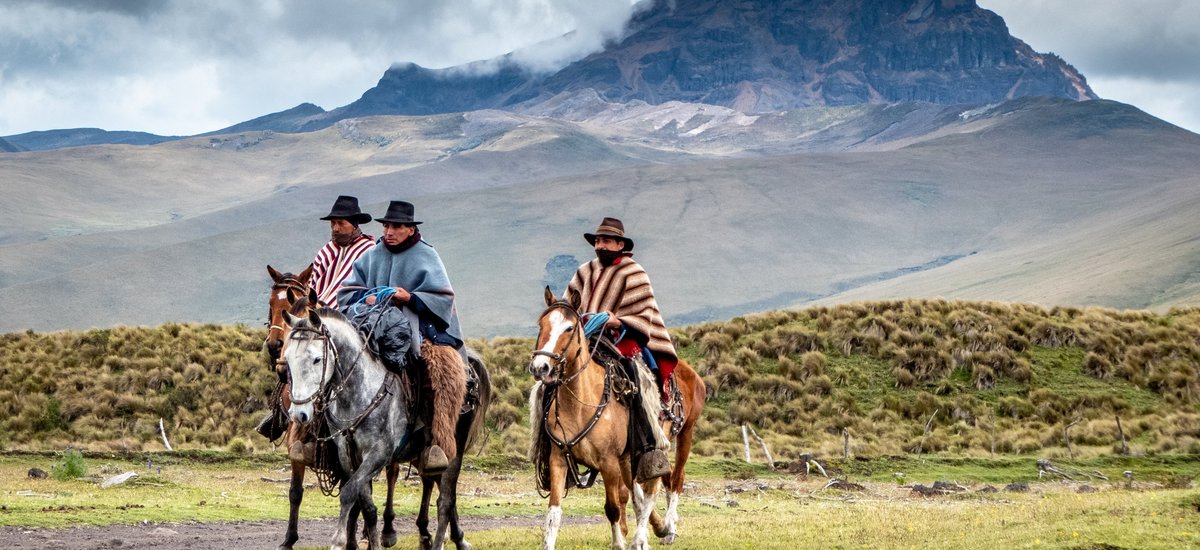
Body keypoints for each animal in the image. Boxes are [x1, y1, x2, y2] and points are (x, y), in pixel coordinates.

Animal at [530, 290, 705, 547]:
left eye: (569, 328)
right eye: (540, 325)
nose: (540, 367)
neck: (581, 403)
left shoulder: (608, 462)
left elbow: (612, 507)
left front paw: (620, 543)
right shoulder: (558, 460)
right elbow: (553, 513)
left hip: (680, 435)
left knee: (667, 483)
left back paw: (654, 533)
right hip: (630, 455)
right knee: (641, 491)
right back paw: (656, 529)